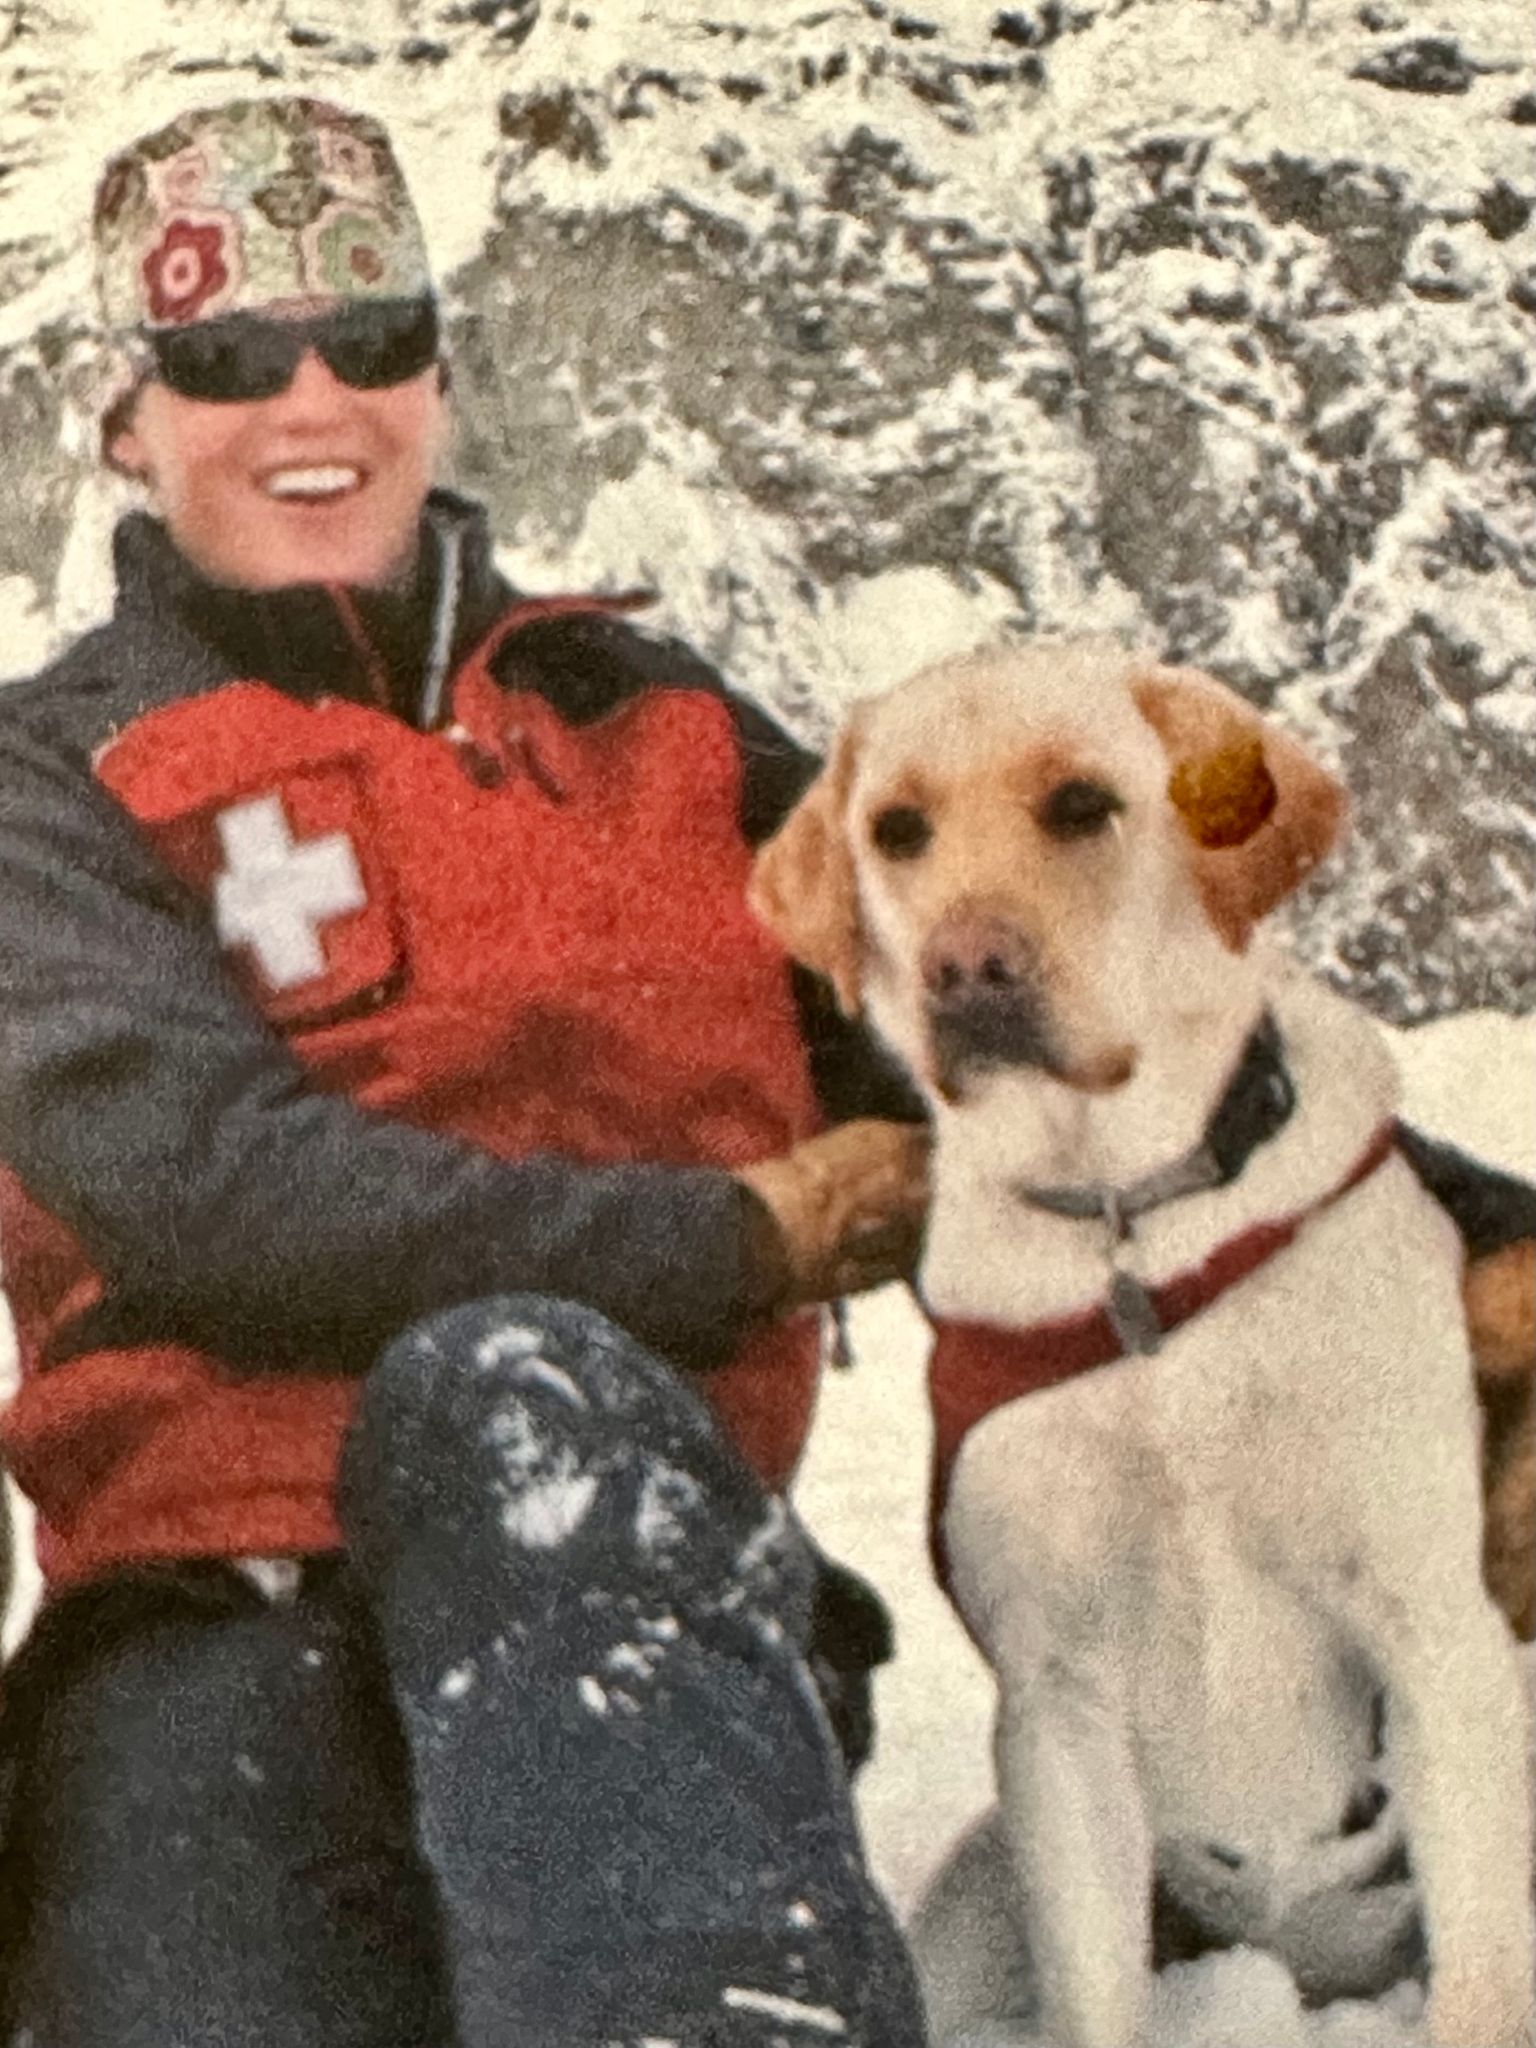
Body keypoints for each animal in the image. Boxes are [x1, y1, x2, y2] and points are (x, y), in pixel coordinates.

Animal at [753, 647, 1531, 2048]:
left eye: (1082, 804)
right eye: (896, 829)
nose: (968, 964)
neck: (1132, 1235)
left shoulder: (1436, 1640)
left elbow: (1488, 1984)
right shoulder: (1056, 1705)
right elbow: (1093, 1992)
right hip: (966, 1912)